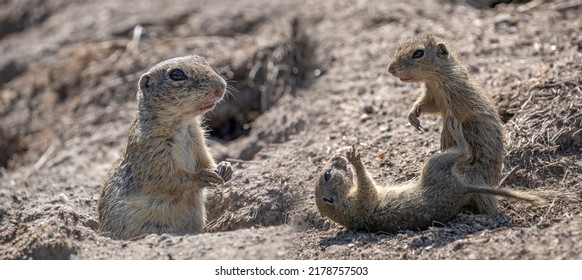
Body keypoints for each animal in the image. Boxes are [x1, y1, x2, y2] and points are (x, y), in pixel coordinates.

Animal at [98, 55, 233, 240]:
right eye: (176, 74)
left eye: (203, 60)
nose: (221, 86)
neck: (182, 126)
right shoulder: (152, 150)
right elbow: (169, 178)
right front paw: (204, 175)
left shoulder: (198, 140)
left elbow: (205, 159)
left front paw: (225, 167)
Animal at [318, 116, 544, 232]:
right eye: (327, 175)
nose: (338, 157)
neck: (345, 209)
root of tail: (461, 188)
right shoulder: (363, 198)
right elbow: (366, 182)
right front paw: (355, 159)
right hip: (432, 165)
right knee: (465, 151)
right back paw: (455, 129)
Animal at [388, 34, 506, 214]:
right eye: (399, 47)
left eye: (418, 53)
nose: (390, 69)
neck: (435, 79)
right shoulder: (431, 95)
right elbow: (427, 105)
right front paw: (413, 114)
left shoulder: (460, 98)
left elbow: (457, 116)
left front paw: (444, 133)